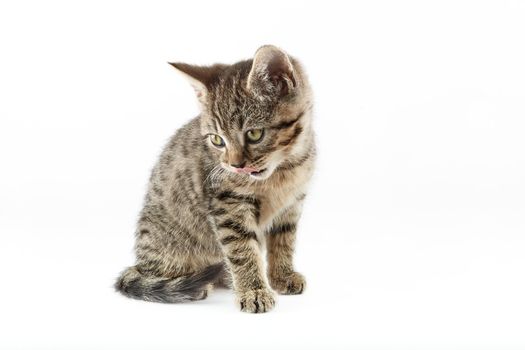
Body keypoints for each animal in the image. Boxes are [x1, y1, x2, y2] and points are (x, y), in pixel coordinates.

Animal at [115, 45, 316, 314]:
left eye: (254, 134)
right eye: (217, 140)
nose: (235, 165)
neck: (283, 170)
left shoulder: (292, 205)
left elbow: (284, 242)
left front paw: (282, 276)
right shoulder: (227, 205)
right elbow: (242, 250)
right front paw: (254, 291)